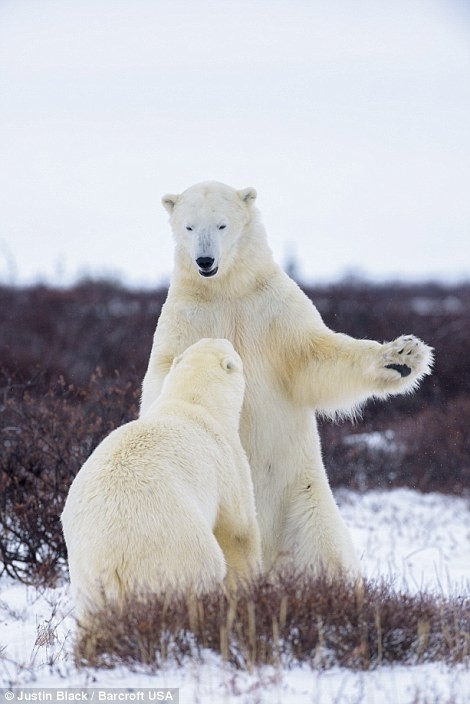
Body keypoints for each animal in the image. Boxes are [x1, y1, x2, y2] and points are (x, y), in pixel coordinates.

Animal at [61, 338, 262, 624]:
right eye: (229, 349)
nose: (222, 338)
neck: (191, 402)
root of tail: (109, 562)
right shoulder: (226, 459)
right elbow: (238, 528)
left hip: (84, 578)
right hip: (174, 548)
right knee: (203, 571)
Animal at [141, 179, 436, 580]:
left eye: (221, 225)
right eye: (188, 226)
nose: (204, 261)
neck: (228, 289)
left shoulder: (274, 308)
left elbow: (316, 357)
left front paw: (403, 358)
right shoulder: (187, 315)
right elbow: (165, 369)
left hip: (304, 500)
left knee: (327, 551)